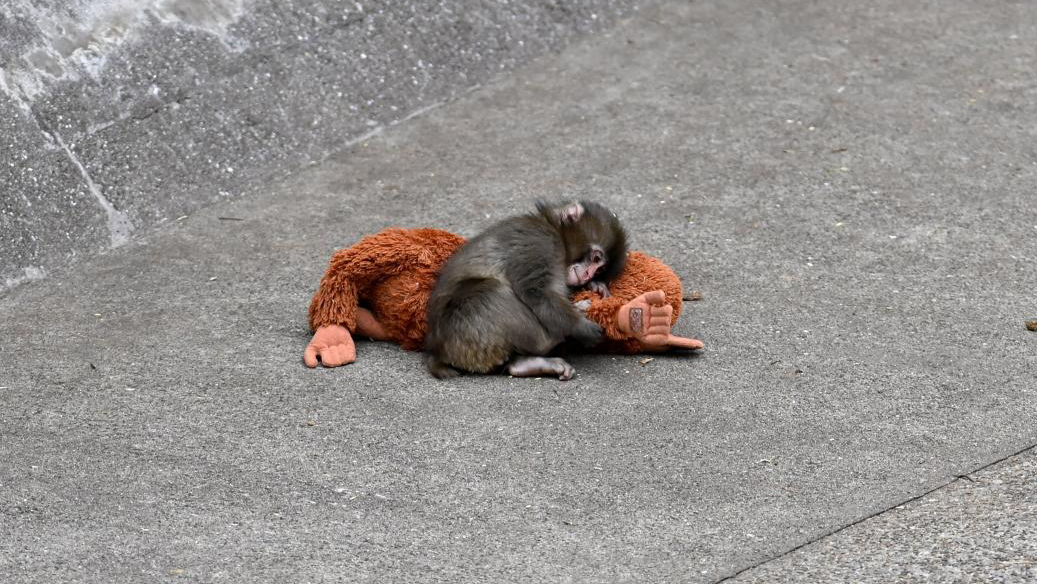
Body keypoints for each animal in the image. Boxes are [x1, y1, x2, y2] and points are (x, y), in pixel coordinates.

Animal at [424, 200, 628, 380]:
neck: (554, 230)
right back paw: (554, 338)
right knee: (491, 291)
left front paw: (596, 286)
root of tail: (438, 350)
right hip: (464, 331)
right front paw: (580, 326)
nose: (587, 275)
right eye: (595, 258)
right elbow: (535, 290)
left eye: (599, 269)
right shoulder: (540, 242)